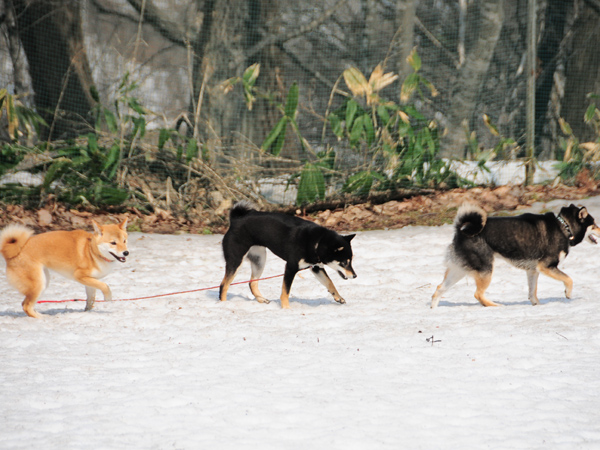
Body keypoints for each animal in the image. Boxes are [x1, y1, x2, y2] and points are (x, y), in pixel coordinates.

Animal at [220, 202, 356, 308]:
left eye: (351, 261)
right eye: (344, 262)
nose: (355, 276)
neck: (317, 242)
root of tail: (235, 220)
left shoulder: (316, 267)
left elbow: (329, 282)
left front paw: (338, 297)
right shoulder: (291, 267)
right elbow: (285, 292)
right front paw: (286, 309)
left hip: (259, 260)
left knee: (252, 283)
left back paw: (262, 300)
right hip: (236, 260)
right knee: (223, 285)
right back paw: (223, 304)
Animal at [432, 203, 600, 306]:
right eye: (594, 224)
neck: (564, 226)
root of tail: (461, 231)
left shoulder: (533, 270)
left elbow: (532, 291)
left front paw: (537, 305)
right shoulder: (547, 266)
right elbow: (569, 279)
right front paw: (568, 294)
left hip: (460, 270)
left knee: (439, 289)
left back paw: (433, 309)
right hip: (485, 270)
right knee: (478, 294)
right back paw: (495, 305)